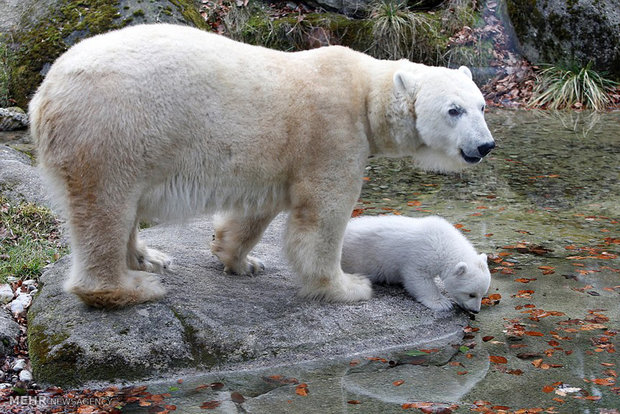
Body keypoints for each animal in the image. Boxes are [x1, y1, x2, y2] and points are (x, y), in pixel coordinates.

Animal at [30, 22, 494, 308]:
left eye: (482, 105)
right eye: (453, 110)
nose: (486, 145)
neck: (365, 92)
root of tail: (42, 95)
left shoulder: (277, 156)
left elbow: (254, 212)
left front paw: (242, 261)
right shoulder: (331, 133)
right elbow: (322, 219)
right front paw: (348, 287)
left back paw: (150, 258)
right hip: (111, 129)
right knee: (105, 207)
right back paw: (134, 286)